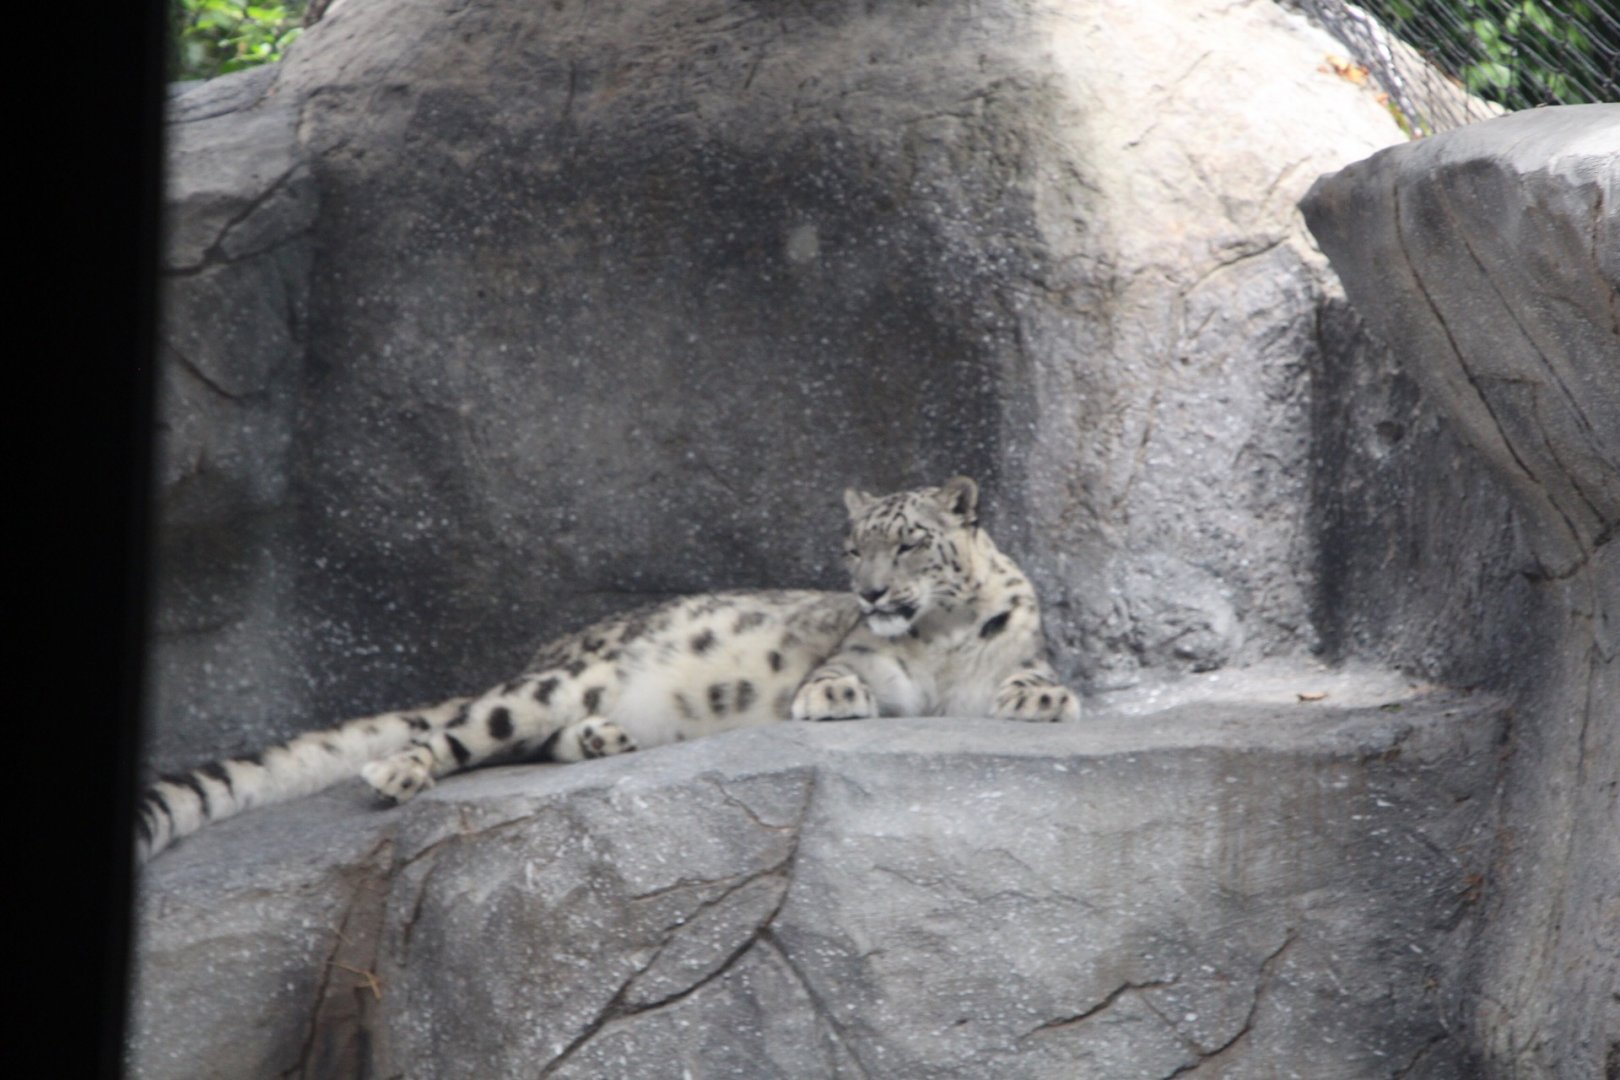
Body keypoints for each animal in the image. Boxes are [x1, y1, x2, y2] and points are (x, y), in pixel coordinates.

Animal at [137, 476, 1080, 861]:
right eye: (854, 547)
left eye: (910, 542)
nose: (873, 591)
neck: (941, 636)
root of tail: (547, 653)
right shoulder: (860, 653)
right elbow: (836, 676)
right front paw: (838, 697)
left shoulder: (1006, 649)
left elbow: (1033, 676)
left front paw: (1044, 699)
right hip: (544, 687)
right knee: (465, 731)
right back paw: (397, 771)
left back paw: (603, 740)